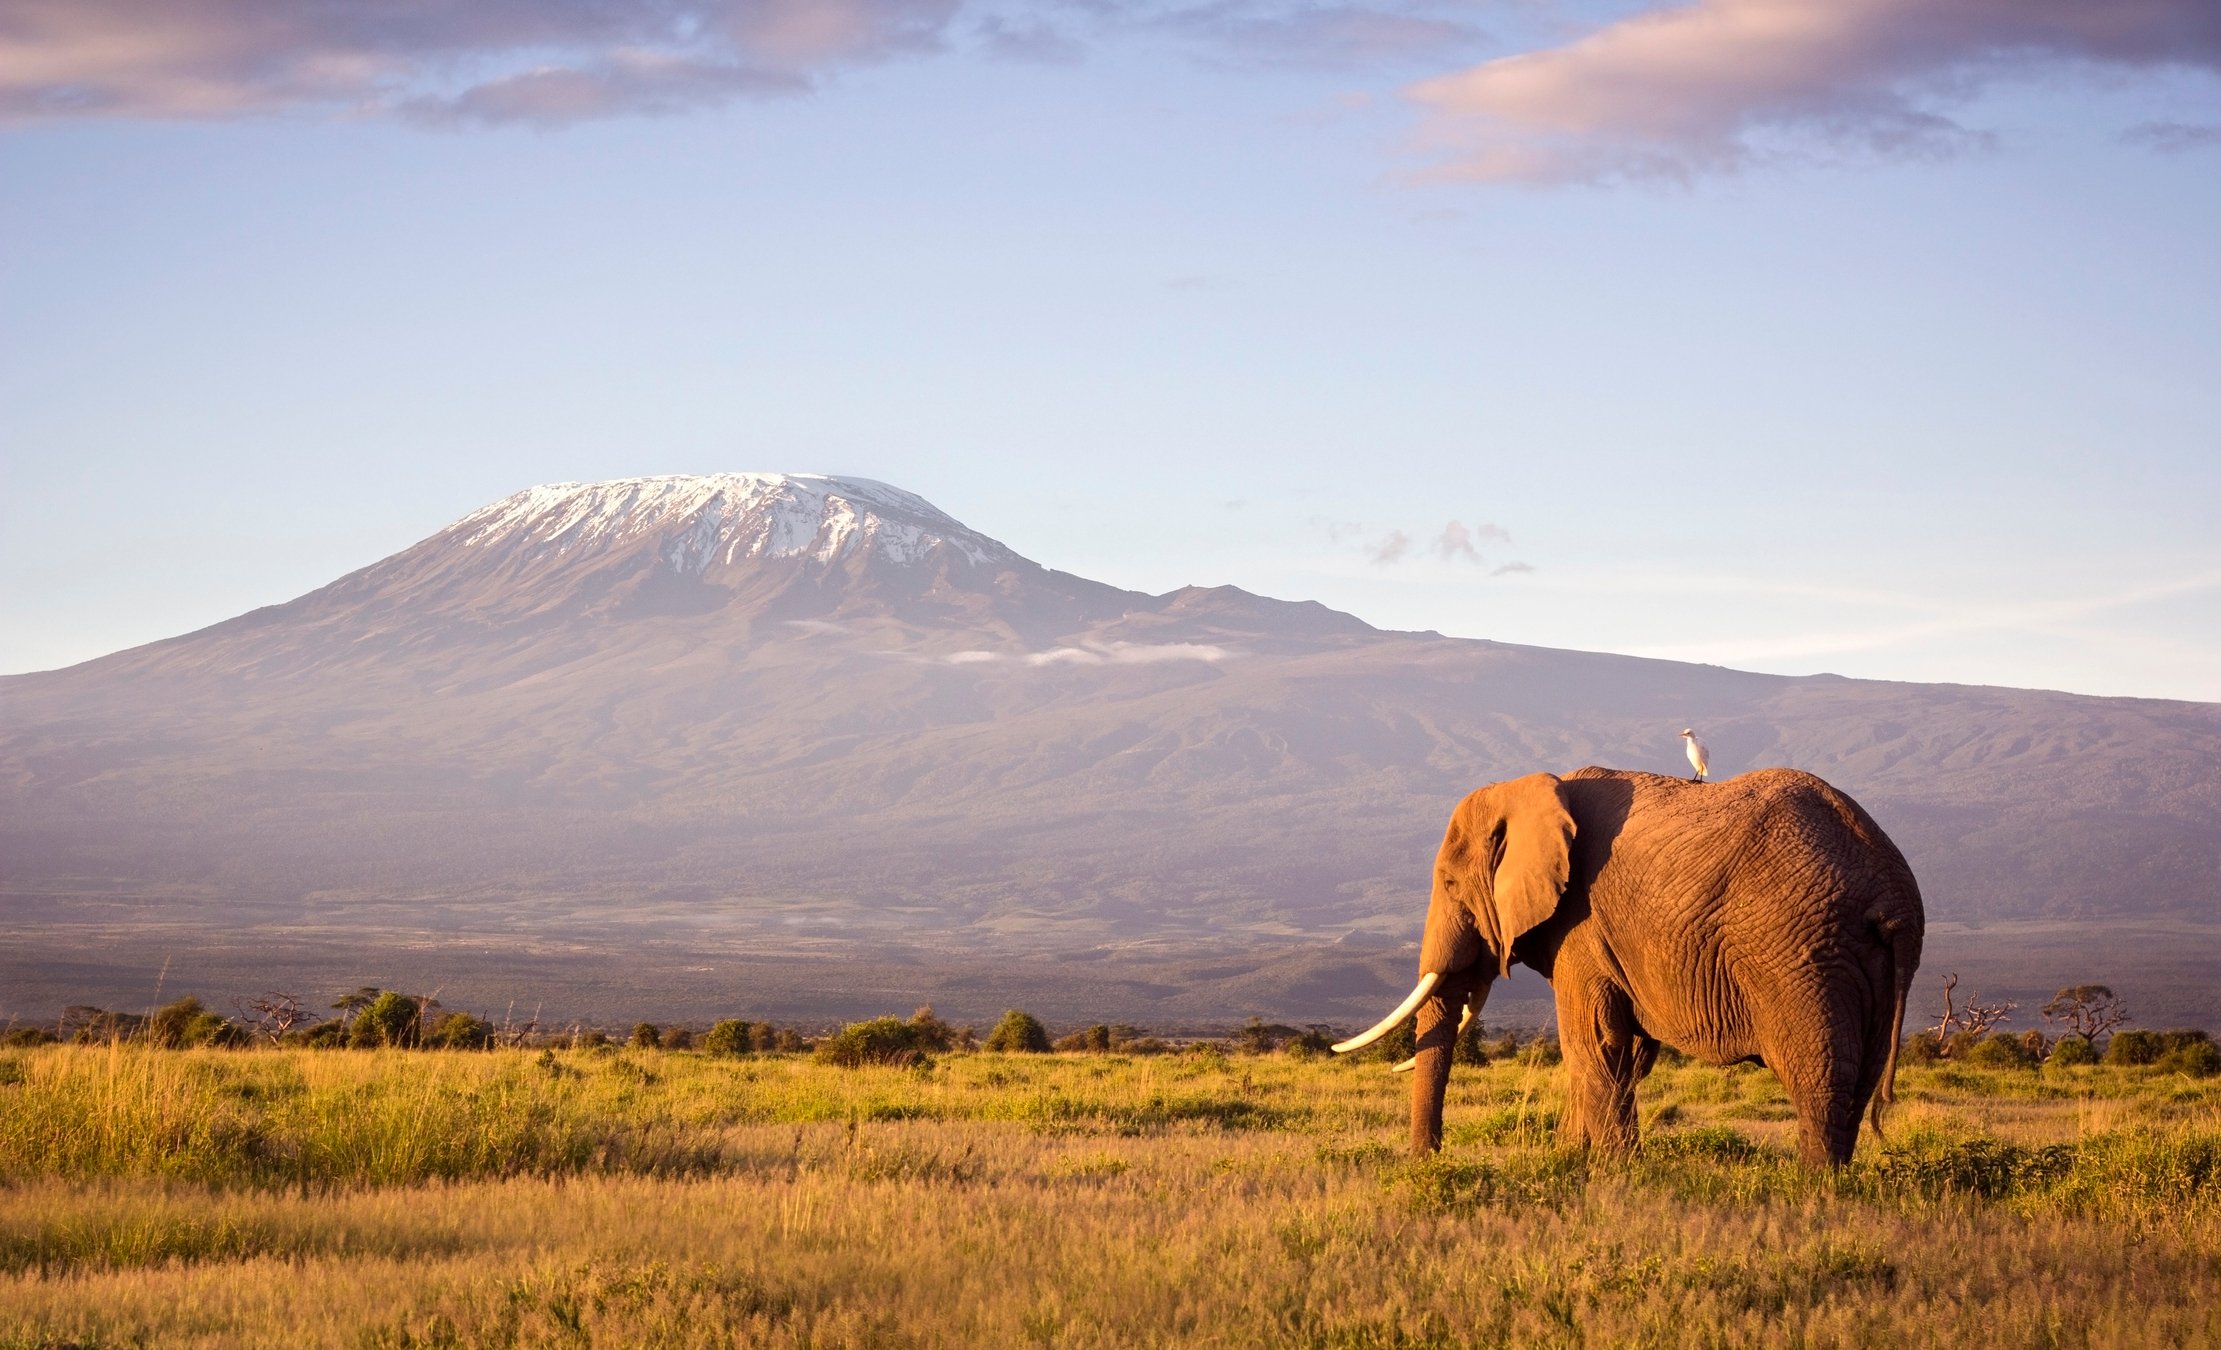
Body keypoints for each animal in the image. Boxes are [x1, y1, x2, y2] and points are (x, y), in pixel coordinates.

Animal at [1334, 766, 1924, 1167]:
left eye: (1450, 883)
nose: (1429, 1160)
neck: (1534, 787)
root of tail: (1892, 892)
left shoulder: (1582, 925)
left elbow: (1592, 1042)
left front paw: (1615, 1173)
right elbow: (1624, 1054)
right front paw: (1571, 1161)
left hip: (1798, 954)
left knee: (1818, 1076)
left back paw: (1812, 1189)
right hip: (1862, 962)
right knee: (1860, 1079)